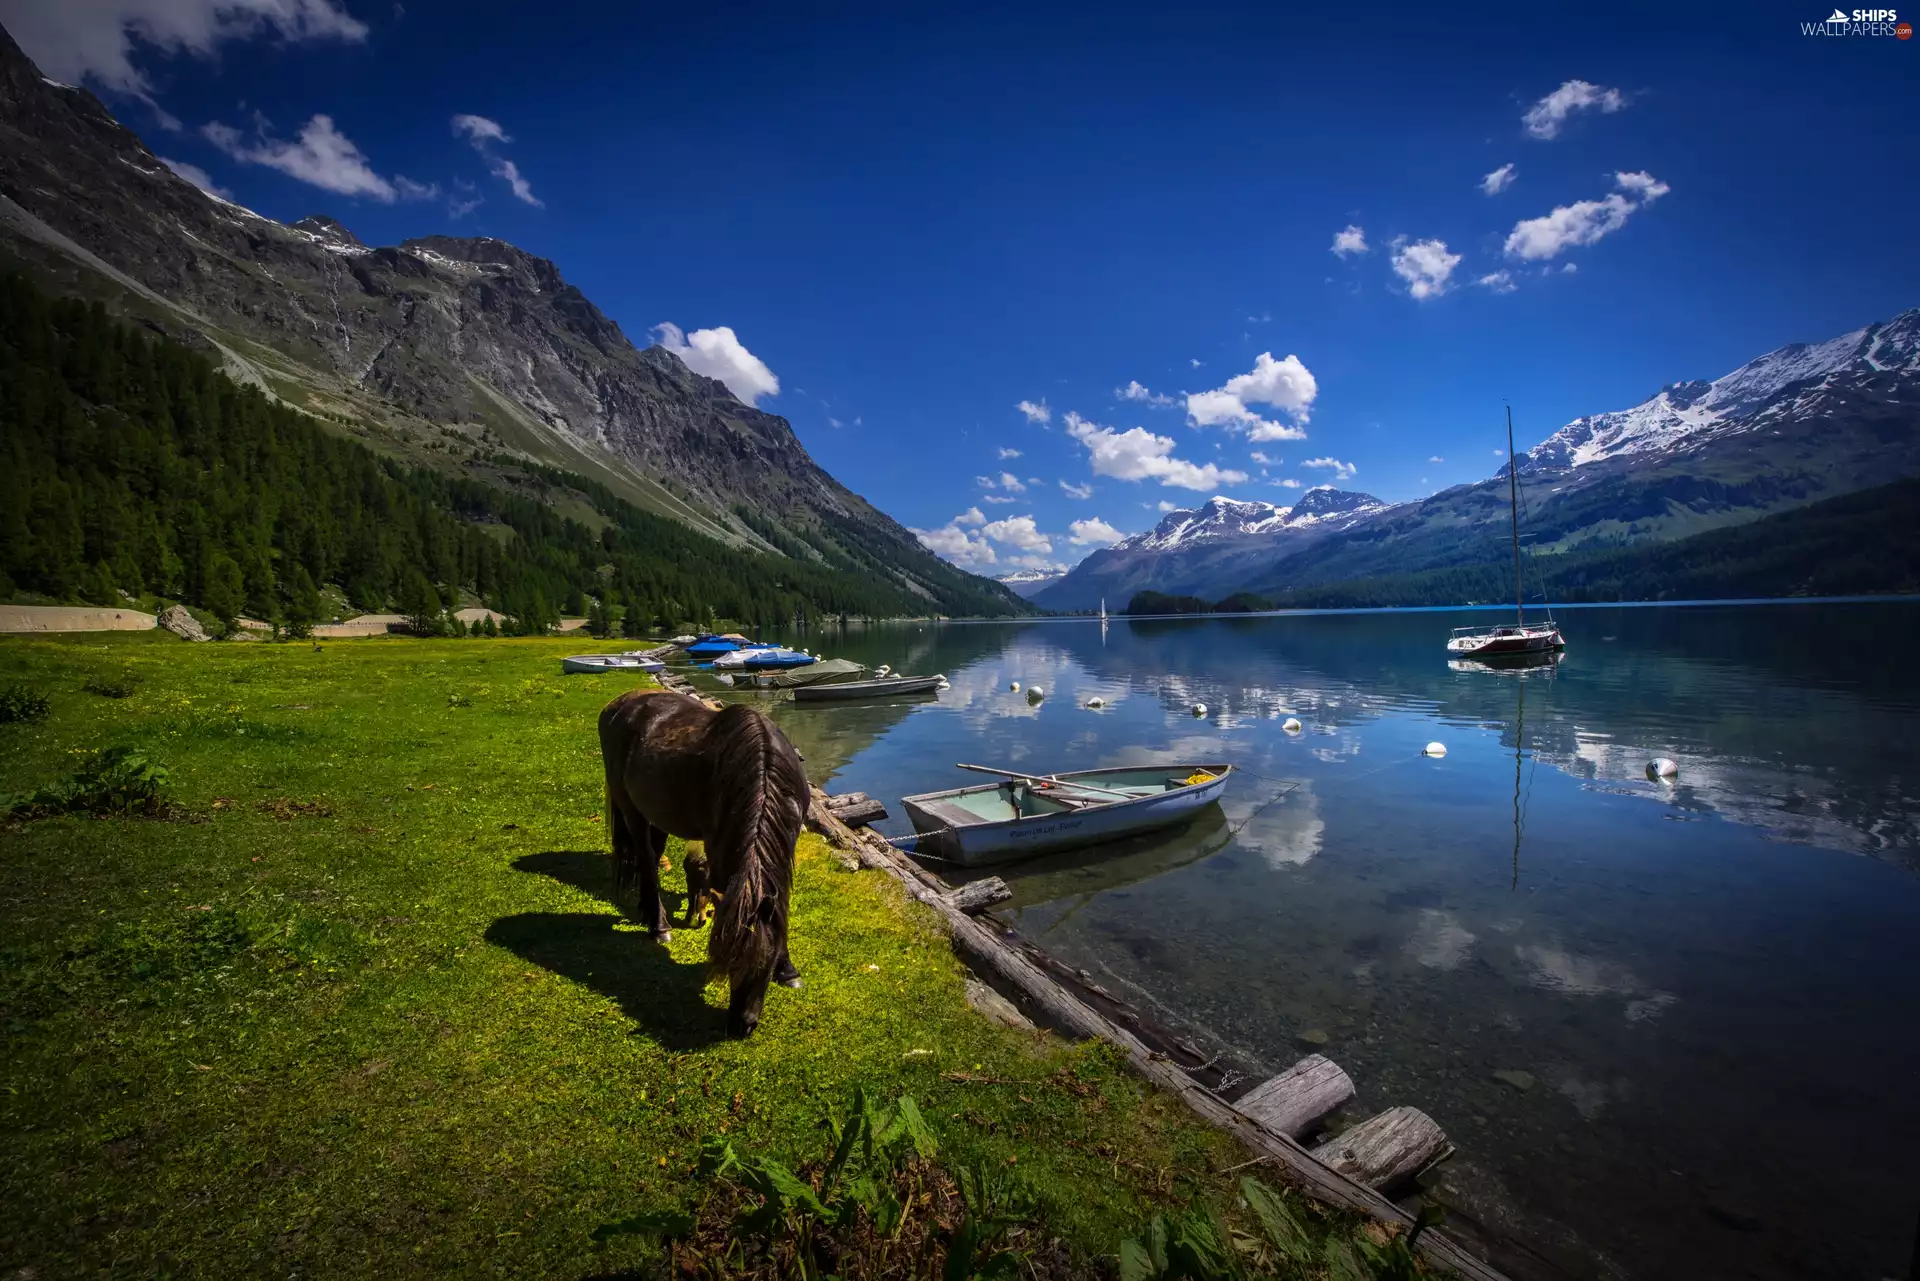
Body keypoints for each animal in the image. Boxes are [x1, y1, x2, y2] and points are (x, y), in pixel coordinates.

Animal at [598, 690, 808, 1038]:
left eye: (763, 967)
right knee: (646, 857)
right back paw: (659, 926)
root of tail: (617, 705)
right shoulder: (720, 845)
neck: (764, 772)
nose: (741, 1026)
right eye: (727, 965)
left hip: (655, 811)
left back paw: (648, 910)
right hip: (630, 807)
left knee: (650, 856)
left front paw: (787, 969)